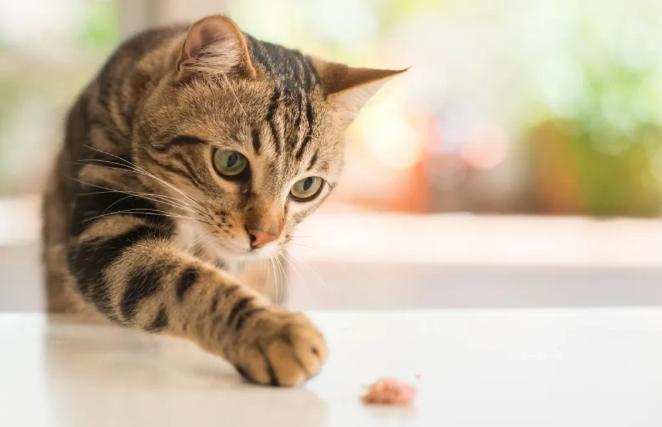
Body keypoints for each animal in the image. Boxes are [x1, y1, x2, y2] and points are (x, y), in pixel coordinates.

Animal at [42, 15, 404, 386]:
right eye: (230, 162)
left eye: (307, 186)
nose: (265, 236)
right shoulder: (108, 228)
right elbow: (186, 282)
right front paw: (273, 330)